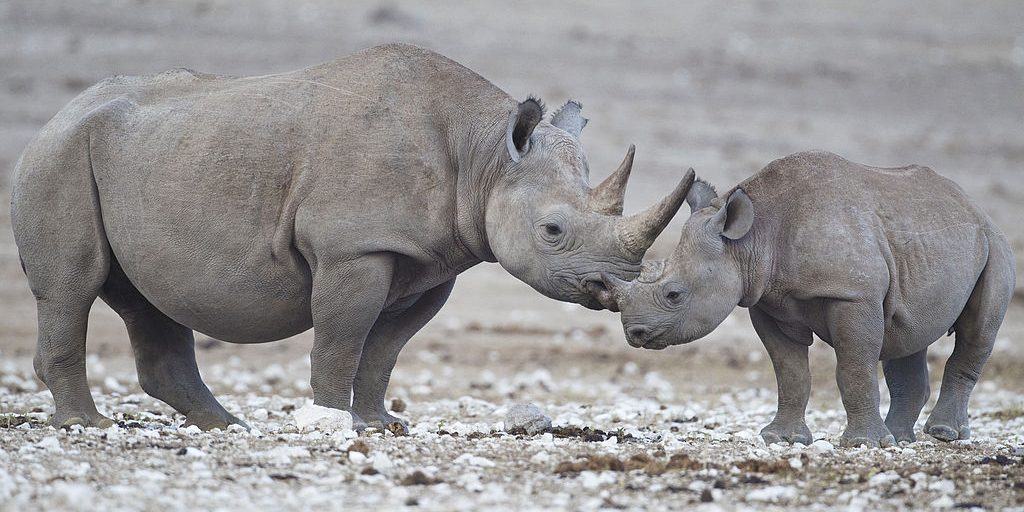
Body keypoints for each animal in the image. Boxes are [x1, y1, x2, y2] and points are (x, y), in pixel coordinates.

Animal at [9, 44, 696, 430]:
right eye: (553, 230)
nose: (613, 289)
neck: (484, 156)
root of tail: (57, 116)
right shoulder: (354, 248)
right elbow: (342, 337)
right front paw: (337, 422)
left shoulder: (430, 262)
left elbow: (385, 349)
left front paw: (380, 424)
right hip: (58, 156)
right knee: (72, 285)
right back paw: (89, 426)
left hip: (140, 156)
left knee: (148, 298)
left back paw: (226, 427)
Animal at [598, 149, 1015, 446]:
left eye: (674, 294)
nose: (633, 334)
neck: (750, 239)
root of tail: (974, 206)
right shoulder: (766, 300)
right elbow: (789, 371)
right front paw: (782, 439)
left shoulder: (853, 295)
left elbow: (853, 367)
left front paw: (863, 444)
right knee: (906, 335)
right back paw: (899, 439)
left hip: (995, 245)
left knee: (977, 331)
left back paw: (942, 435)